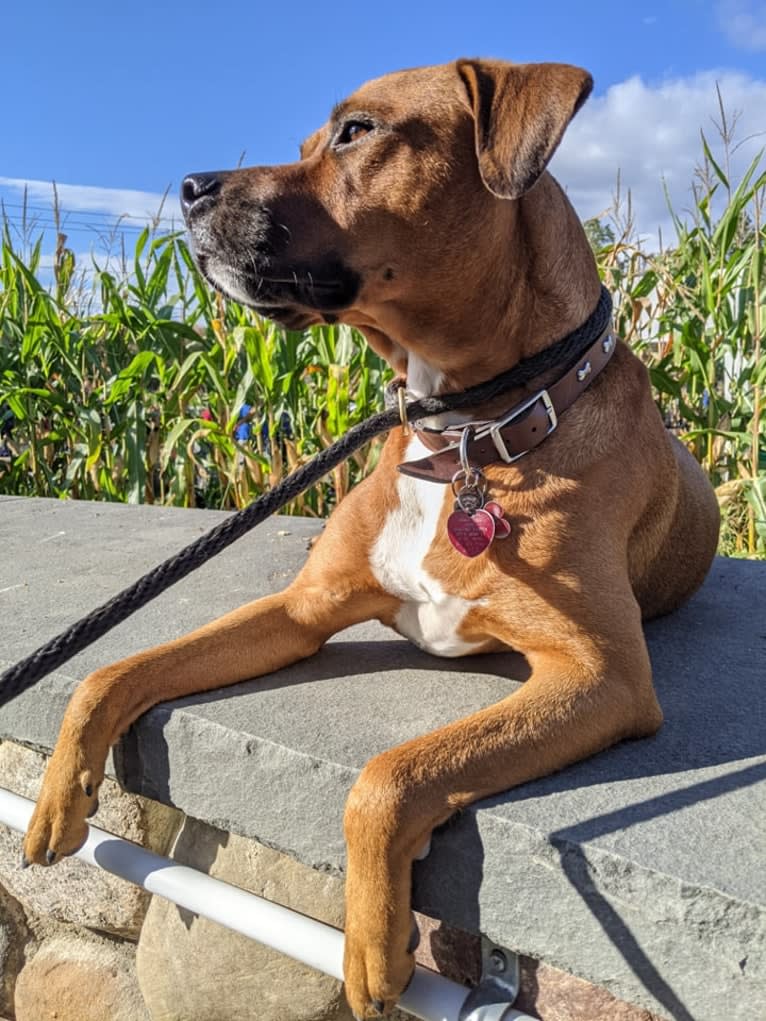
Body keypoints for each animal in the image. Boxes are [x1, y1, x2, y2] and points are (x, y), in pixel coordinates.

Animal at [24, 59, 719, 1016]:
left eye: (357, 131)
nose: (192, 185)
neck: (464, 435)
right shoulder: (301, 608)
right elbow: (111, 670)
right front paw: (60, 792)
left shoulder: (600, 674)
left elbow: (388, 776)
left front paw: (372, 944)